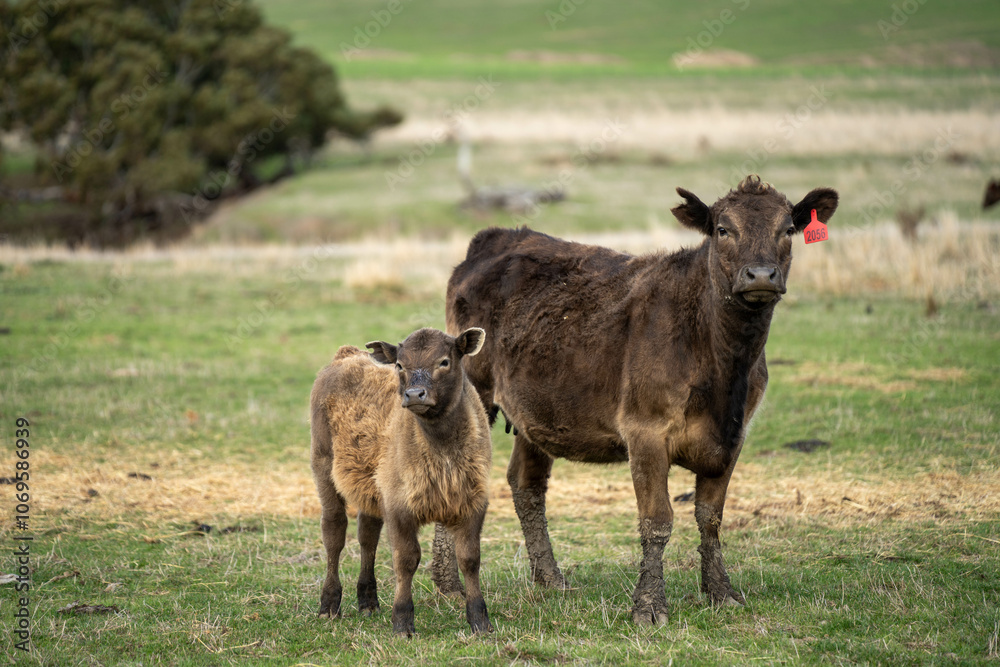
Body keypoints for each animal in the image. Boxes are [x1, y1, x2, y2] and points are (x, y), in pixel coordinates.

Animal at [310, 327, 493, 636]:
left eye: (444, 361)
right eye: (399, 365)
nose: (414, 394)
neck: (443, 450)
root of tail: (347, 354)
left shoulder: (474, 500)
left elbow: (470, 558)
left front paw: (480, 620)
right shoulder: (399, 504)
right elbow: (406, 559)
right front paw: (403, 621)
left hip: (371, 486)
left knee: (367, 535)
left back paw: (368, 601)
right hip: (322, 463)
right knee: (334, 532)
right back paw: (329, 605)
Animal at [440, 175, 838, 624]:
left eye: (787, 229)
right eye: (723, 230)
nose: (761, 275)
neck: (723, 365)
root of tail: (500, 235)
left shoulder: (734, 436)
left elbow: (711, 519)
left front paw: (721, 592)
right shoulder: (645, 431)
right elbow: (657, 521)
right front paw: (648, 605)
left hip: (536, 410)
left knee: (527, 486)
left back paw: (550, 579)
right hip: (471, 390)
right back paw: (449, 586)